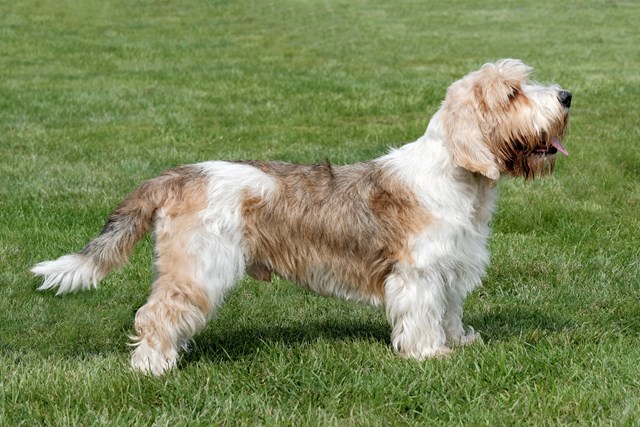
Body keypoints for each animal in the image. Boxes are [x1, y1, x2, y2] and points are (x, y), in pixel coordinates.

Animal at [31, 59, 568, 374]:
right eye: (513, 94)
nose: (566, 97)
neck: (456, 177)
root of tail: (180, 175)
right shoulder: (417, 274)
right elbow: (421, 315)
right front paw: (428, 355)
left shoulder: (450, 270)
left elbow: (449, 312)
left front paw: (461, 342)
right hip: (200, 269)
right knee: (157, 314)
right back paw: (153, 367)